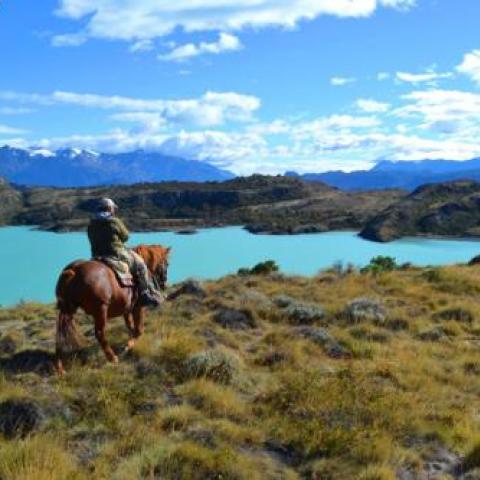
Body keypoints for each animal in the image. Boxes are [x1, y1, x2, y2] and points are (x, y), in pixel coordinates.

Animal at [54, 244, 171, 376]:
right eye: (167, 263)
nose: (164, 283)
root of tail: (73, 270)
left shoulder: (127, 310)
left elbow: (130, 326)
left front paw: (130, 341)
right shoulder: (138, 307)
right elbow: (139, 330)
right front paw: (128, 346)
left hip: (68, 310)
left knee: (60, 335)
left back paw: (60, 368)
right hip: (100, 310)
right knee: (100, 333)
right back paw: (112, 357)